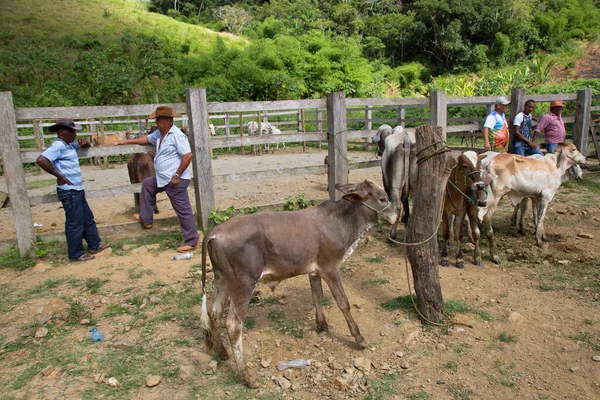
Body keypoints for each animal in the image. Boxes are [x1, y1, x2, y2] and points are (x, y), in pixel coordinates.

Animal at [202, 180, 398, 386]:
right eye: (382, 199)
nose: (395, 216)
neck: (340, 222)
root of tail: (216, 231)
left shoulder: (314, 271)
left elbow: (317, 295)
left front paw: (322, 325)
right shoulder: (330, 268)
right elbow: (343, 303)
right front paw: (359, 338)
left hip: (221, 279)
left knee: (214, 313)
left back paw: (222, 351)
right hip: (243, 283)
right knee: (233, 325)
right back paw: (247, 376)